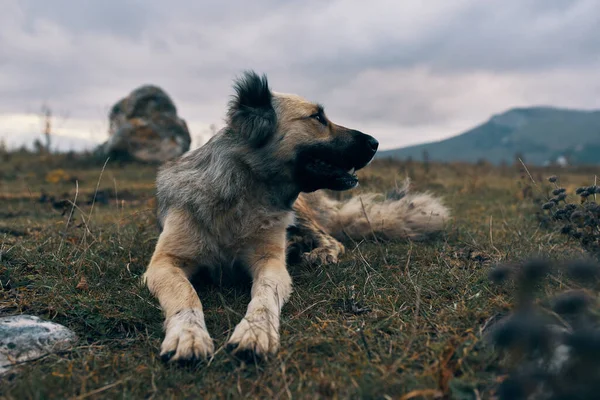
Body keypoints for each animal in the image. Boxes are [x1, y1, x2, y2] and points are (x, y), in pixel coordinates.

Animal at [142, 70, 450, 364]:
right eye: (317, 117)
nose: (375, 143)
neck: (244, 192)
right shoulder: (164, 263)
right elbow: (186, 295)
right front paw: (188, 334)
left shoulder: (270, 262)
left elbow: (264, 296)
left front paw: (256, 331)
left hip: (298, 213)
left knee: (332, 240)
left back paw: (318, 252)